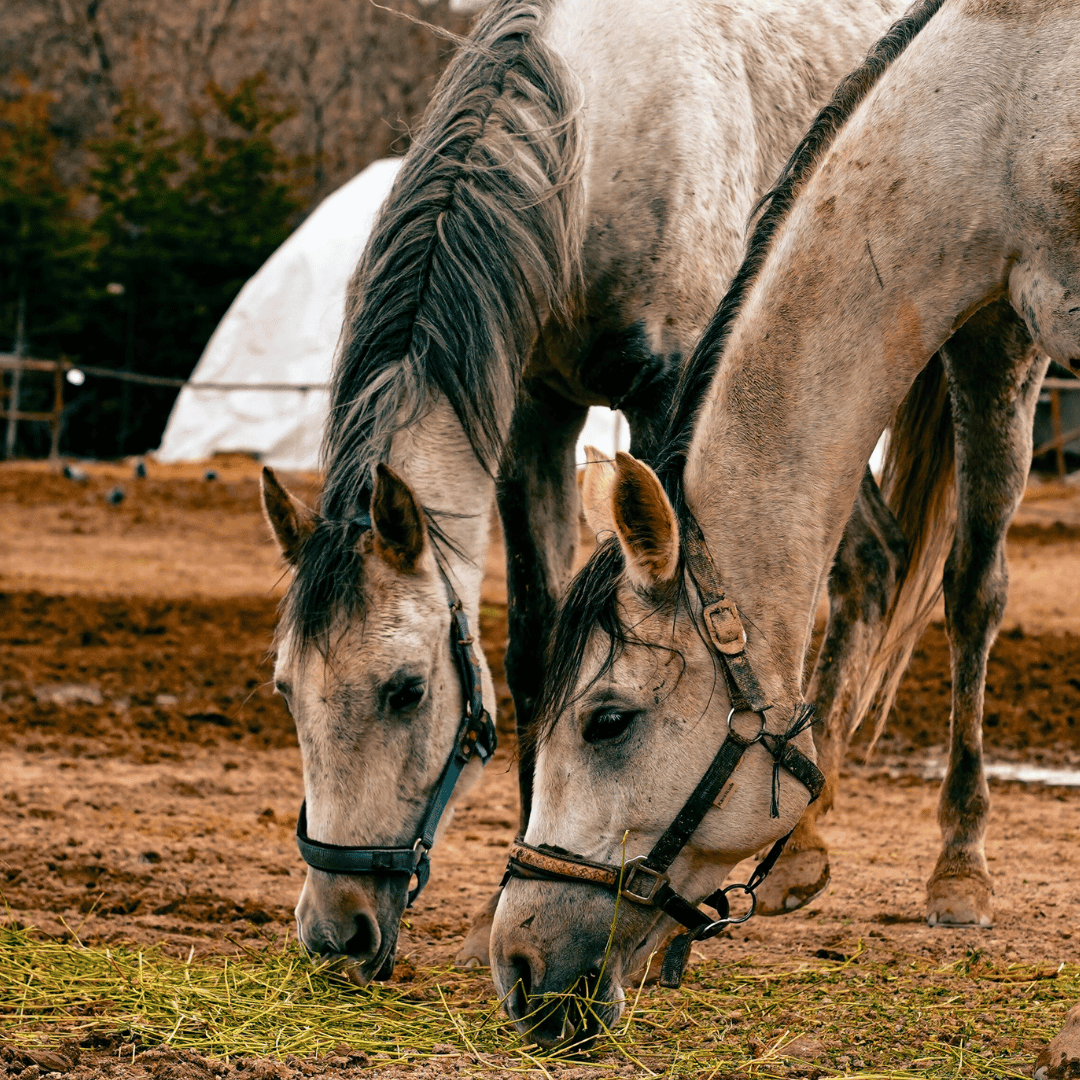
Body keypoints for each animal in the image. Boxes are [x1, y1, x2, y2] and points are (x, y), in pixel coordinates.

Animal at [259, 0, 913, 985]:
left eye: (406, 691)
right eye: (285, 692)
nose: (338, 934)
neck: (597, 135)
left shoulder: (667, 394)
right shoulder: (535, 414)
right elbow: (539, 644)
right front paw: (494, 911)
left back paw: (943, 873)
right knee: (872, 562)